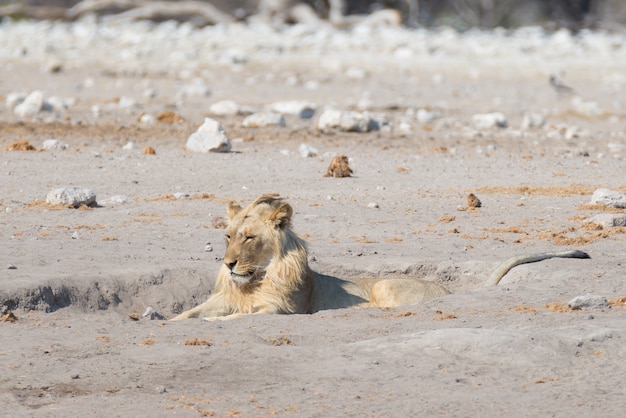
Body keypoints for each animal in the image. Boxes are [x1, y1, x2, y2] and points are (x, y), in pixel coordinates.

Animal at [169, 196, 584, 320]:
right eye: (227, 236)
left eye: (250, 237)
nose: (228, 264)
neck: (253, 281)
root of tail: (448, 292)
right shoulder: (219, 300)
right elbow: (189, 315)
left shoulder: (280, 310)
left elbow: (236, 319)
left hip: (385, 284)